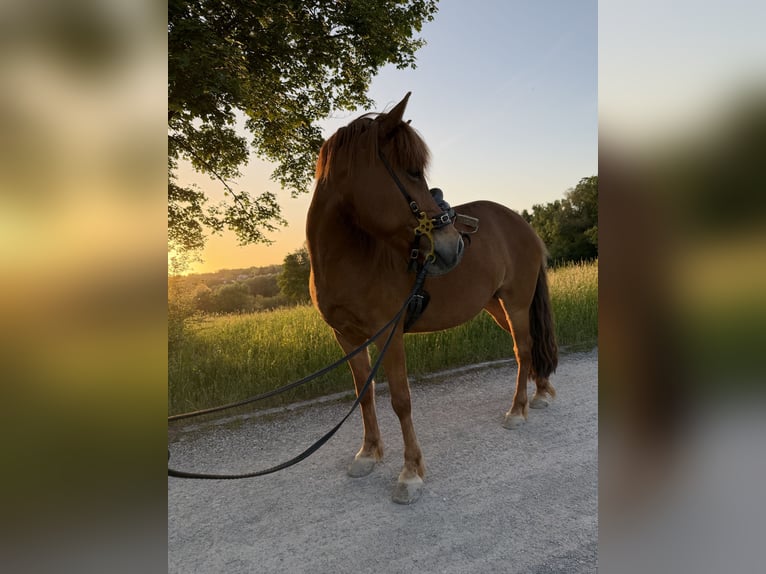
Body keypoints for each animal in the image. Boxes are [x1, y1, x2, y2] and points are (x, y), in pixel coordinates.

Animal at [306, 92, 558, 504]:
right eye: (410, 172)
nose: (452, 245)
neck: (350, 258)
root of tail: (522, 224)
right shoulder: (346, 338)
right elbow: (364, 393)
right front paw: (368, 454)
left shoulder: (389, 335)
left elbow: (400, 399)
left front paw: (410, 473)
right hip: (496, 306)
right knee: (531, 346)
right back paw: (542, 393)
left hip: (516, 303)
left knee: (523, 349)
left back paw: (518, 410)